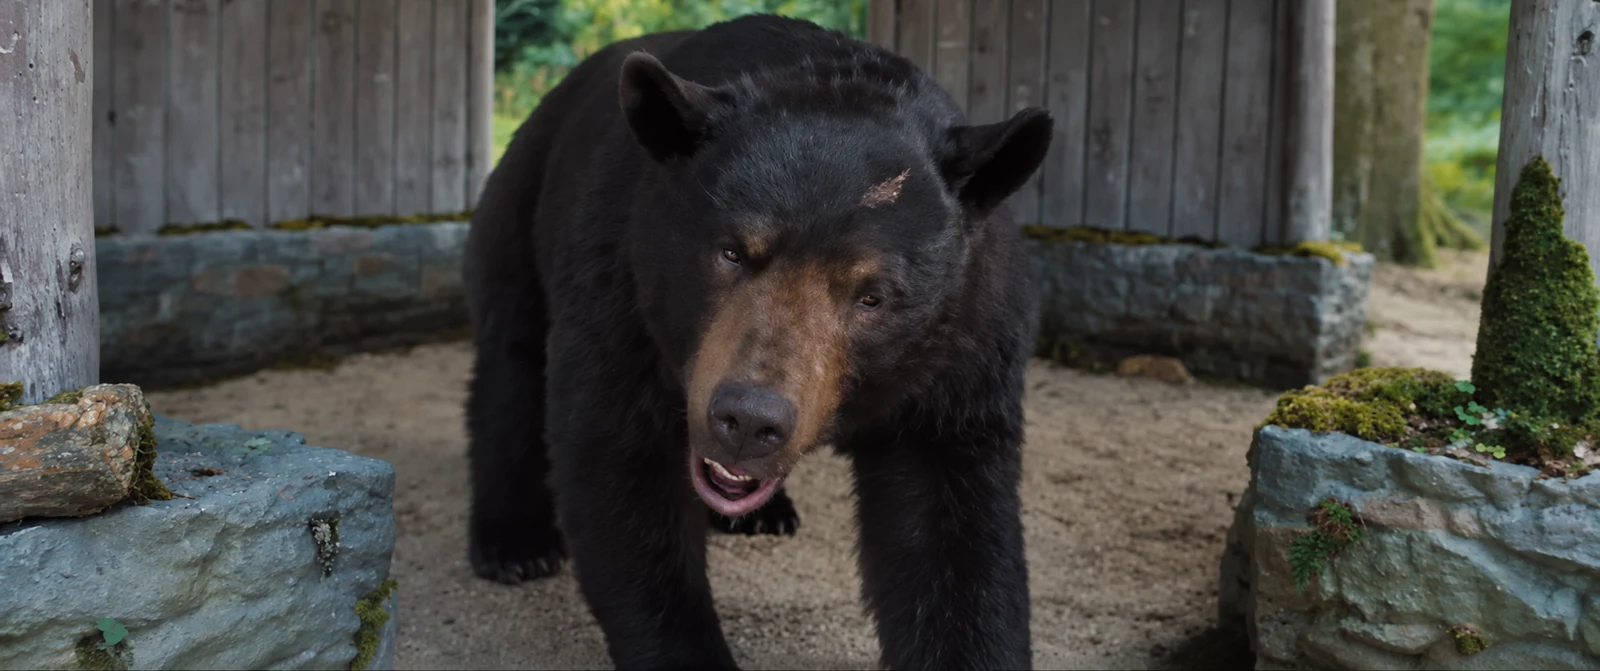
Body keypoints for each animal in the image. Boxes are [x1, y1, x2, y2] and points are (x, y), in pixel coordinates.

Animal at [462, 14, 1051, 670]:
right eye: (730, 253)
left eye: (872, 296)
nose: (747, 420)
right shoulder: (618, 288)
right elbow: (620, 464)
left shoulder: (965, 349)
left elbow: (950, 533)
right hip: (521, 207)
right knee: (511, 365)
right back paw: (515, 543)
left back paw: (764, 513)